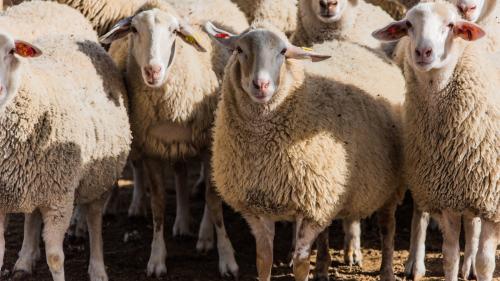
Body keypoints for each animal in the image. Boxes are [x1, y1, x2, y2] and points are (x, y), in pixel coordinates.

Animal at [0, 2, 132, 280]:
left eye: (11, 51)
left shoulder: (60, 198)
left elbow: (55, 257)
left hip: (98, 176)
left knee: (94, 218)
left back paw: (98, 268)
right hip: (37, 183)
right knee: (32, 215)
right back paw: (25, 260)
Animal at [99, 0, 248, 276]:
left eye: (174, 31)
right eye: (134, 29)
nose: (153, 70)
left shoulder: (208, 143)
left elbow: (213, 202)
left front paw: (226, 257)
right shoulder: (152, 149)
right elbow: (158, 205)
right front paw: (157, 258)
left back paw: (204, 236)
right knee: (180, 172)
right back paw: (182, 222)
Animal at [206, 20, 406, 280]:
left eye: (283, 52)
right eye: (239, 49)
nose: (261, 85)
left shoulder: (312, 208)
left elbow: (301, 264)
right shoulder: (257, 207)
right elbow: (264, 259)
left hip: (388, 186)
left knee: (387, 227)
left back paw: (386, 270)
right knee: (330, 230)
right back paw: (324, 265)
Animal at [376, 2, 500, 280]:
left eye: (450, 25)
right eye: (408, 24)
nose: (423, 51)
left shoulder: (492, 202)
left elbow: (486, 262)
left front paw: (478, 266)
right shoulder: (448, 196)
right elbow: (450, 256)